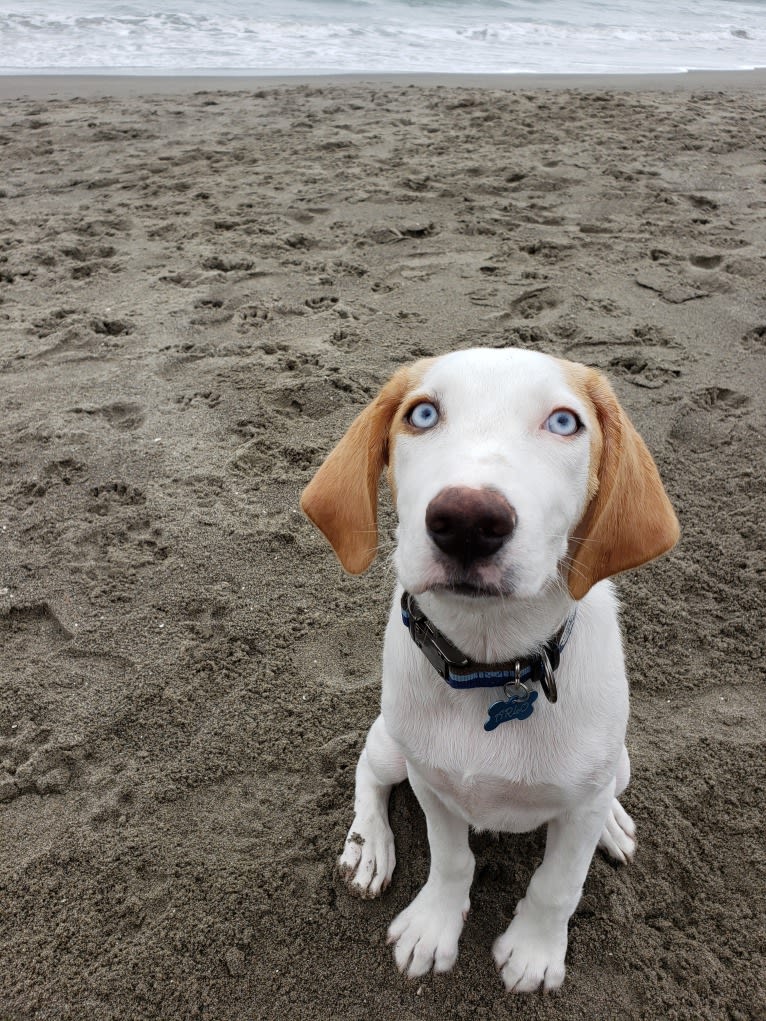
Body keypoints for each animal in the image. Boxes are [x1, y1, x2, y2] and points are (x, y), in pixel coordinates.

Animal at [298, 347, 678, 992]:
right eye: (422, 413)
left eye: (564, 422)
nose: (468, 519)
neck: (493, 663)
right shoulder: (431, 781)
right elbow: (452, 860)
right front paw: (432, 928)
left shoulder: (580, 800)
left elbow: (558, 884)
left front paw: (533, 952)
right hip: (393, 742)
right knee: (368, 771)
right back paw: (369, 845)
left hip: (618, 762)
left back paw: (612, 824)